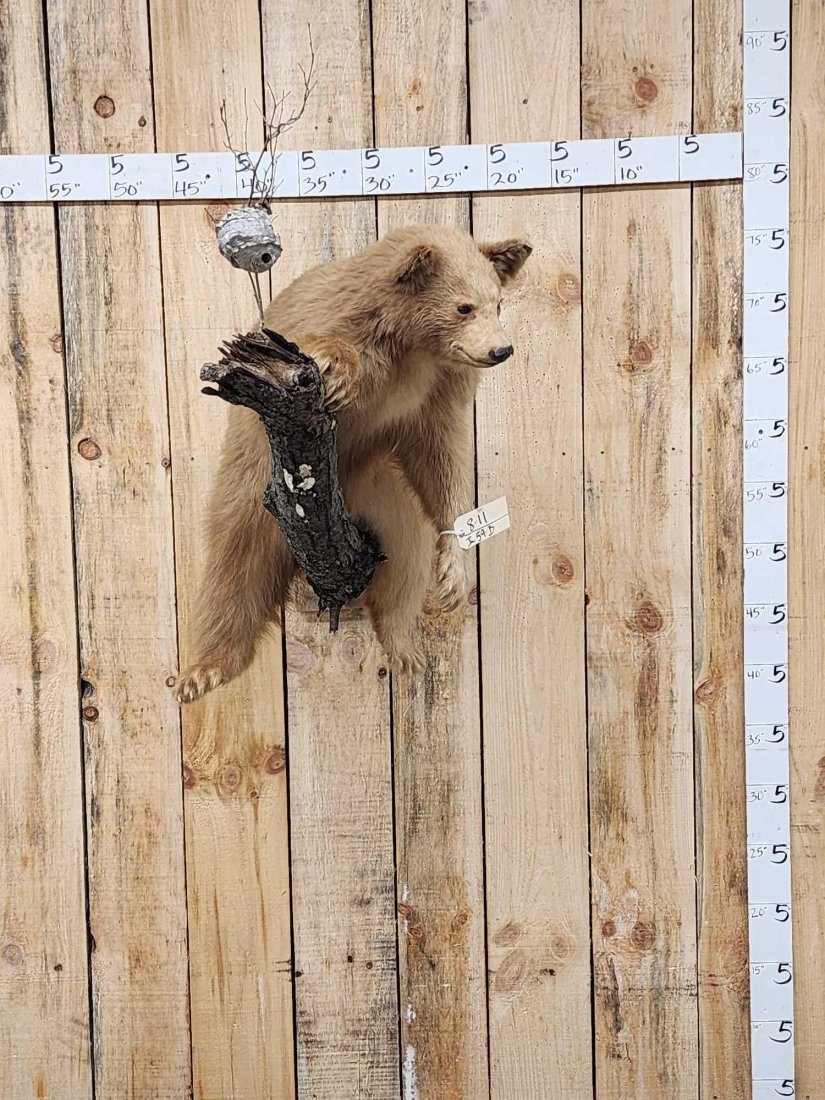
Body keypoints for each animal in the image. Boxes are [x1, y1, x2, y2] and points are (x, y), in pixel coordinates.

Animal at [176, 223, 531, 703]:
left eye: (498, 303)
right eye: (464, 306)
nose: (501, 350)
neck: (411, 346)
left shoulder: (438, 388)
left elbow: (442, 457)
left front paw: (453, 568)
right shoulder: (338, 321)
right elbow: (311, 341)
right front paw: (336, 368)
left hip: (383, 492)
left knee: (405, 558)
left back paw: (404, 649)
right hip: (251, 485)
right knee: (234, 564)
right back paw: (205, 670)